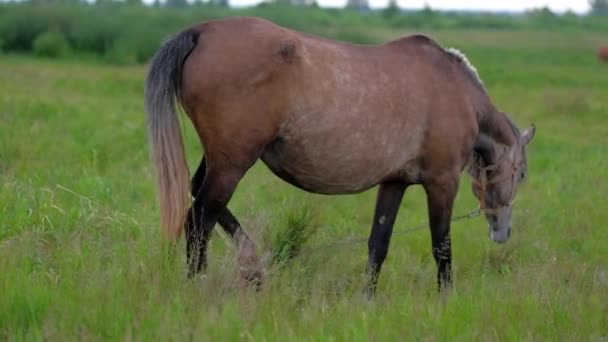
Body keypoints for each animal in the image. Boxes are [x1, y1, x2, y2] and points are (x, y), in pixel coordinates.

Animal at [145, 16, 536, 294]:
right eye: (521, 174)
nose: (503, 231)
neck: (456, 92)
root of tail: (202, 31)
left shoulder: (394, 182)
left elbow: (378, 243)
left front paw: (367, 299)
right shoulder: (442, 183)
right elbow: (441, 245)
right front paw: (447, 298)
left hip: (222, 159)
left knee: (199, 198)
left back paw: (253, 269)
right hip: (233, 163)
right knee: (199, 220)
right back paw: (200, 286)